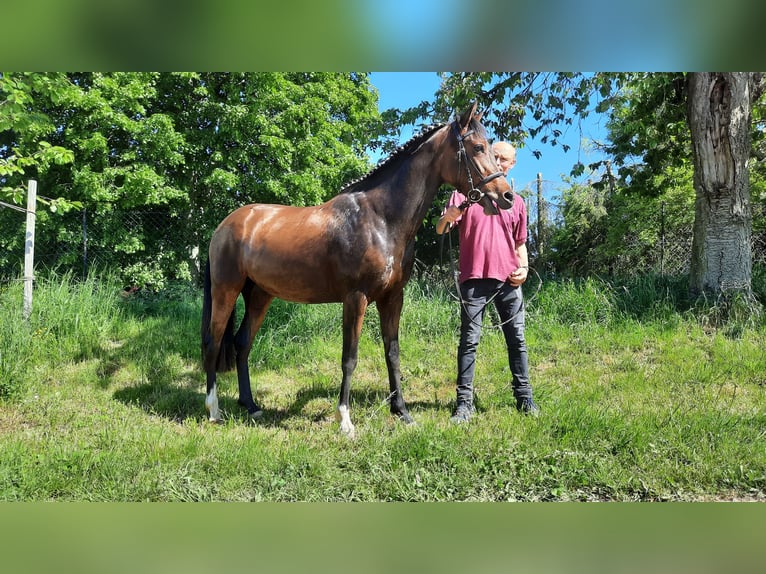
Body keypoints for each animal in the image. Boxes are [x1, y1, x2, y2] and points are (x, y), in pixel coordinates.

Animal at [204, 102, 512, 436]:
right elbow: (349, 358)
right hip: (226, 291)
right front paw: (345, 420)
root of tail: (225, 225)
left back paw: (251, 406)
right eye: (477, 147)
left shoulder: (393, 298)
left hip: (260, 295)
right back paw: (213, 411)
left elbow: (393, 353)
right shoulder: (356, 298)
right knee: (214, 342)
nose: (506, 196)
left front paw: (402, 412)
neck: (380, 219)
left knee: (242, 344)